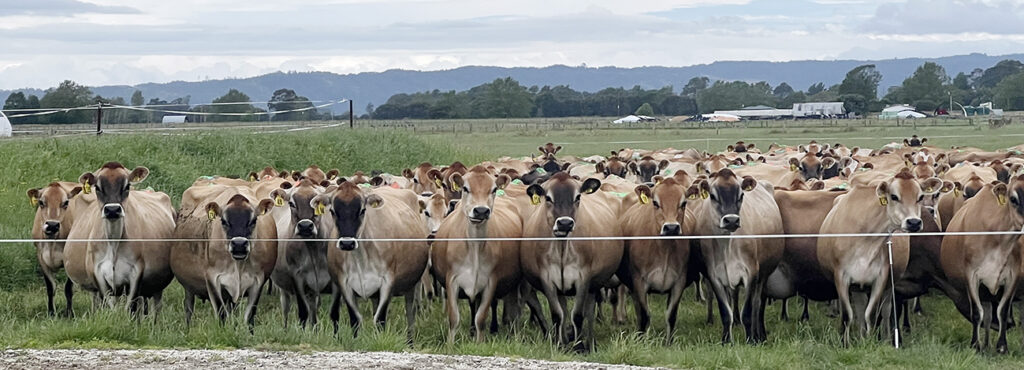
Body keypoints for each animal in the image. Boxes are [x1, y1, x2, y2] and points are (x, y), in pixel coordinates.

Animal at [27, 180, 83, 313]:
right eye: (41, 202)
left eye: (66, 203)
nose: (52, 225)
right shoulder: (41, 257)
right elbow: (50, 287)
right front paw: (51, 312)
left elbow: (68, 288)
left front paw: (70, 313)